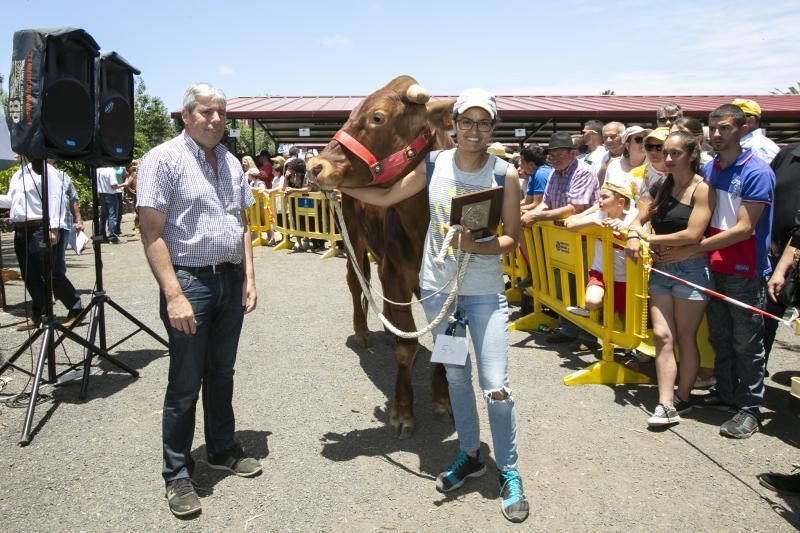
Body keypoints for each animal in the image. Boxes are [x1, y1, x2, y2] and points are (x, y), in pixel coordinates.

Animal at [308, 77, 454, 438]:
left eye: (377, 117)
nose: (315, 166)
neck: (423, 224)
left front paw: (442, 401)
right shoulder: (395, 274)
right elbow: (406, 349)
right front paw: (403, 412)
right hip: (354, 240)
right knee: (355, 282)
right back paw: (362, 332)